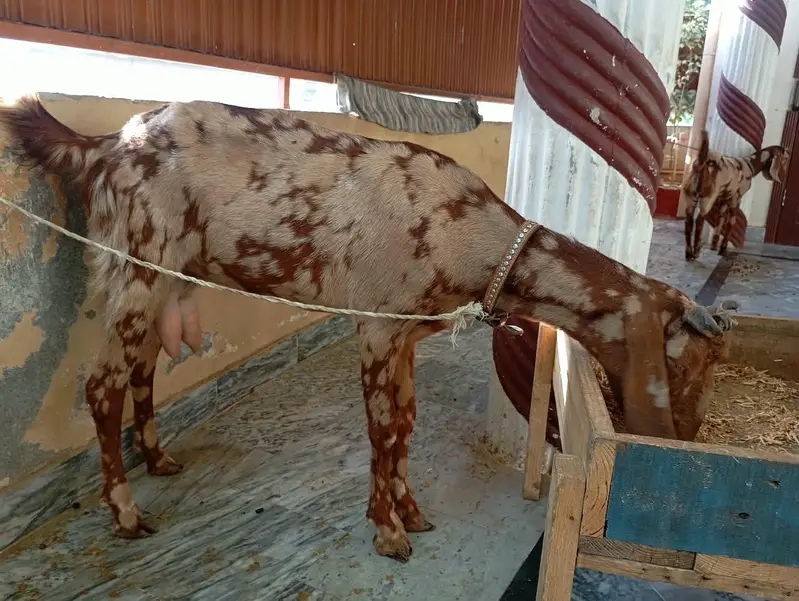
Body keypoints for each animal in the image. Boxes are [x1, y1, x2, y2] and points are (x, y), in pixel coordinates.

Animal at [1, 95, 735, 562]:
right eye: (690, 360)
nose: (684, 437)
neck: (468, 233)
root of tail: (104, 145)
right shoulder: (377, 323)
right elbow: (383, 429)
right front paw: (387, 533)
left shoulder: (405, 333)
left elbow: (406, 423)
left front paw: (411, 512)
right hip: (134, 263)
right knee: (101, 385)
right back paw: (126, 513)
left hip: (160, 274)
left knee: (143, 368)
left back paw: (158, 459)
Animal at [683, 130, 790, 261]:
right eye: (785, 158)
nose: (784, 177)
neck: (749, 164)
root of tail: (701, 164)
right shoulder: (736, 198)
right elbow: (731, 223)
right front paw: (723, 249)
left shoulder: (724, 199)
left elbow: (720, 221)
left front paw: (714, 246)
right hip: (707, 199)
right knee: (699, 221)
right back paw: (696, 252)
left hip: (690, 198)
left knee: (688, 222)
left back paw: (688, 253)